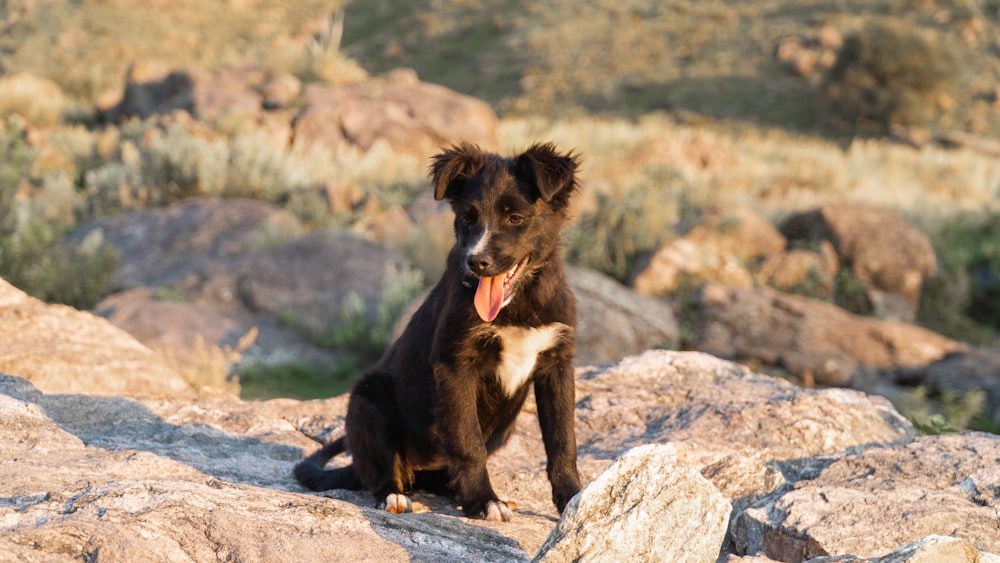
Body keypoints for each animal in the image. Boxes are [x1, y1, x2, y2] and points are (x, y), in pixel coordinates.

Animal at [292, 143, 584, 524]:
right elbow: (469, 443)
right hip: (368, 397)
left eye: (515, 218)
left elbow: (563, 442)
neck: (519, 303)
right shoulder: (455, 364)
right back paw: (394, 495)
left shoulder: (556, 363)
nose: (476, 262)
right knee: (382, 471)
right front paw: (484, 501)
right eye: (467, 218)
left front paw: (574, 498)